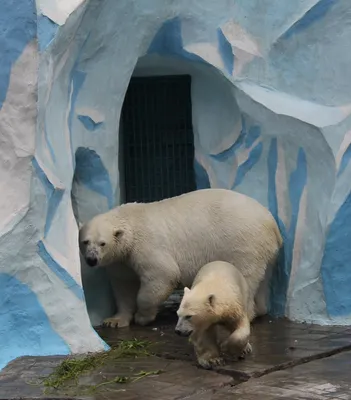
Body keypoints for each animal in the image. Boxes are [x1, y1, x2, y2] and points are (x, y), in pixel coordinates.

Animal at [79, 188, 284, 328]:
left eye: (102, 243)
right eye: (85, 241)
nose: (91, 260)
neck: (130, 223)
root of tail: (271, 222)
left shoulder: (146, 246)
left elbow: (163, 275)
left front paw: (142, 317)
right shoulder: (120, 260)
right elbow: (123, 286)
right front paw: (114, 320)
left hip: (243, 243)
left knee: (244, 276)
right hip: (265, 252)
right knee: (262, 280)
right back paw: (260, 309)